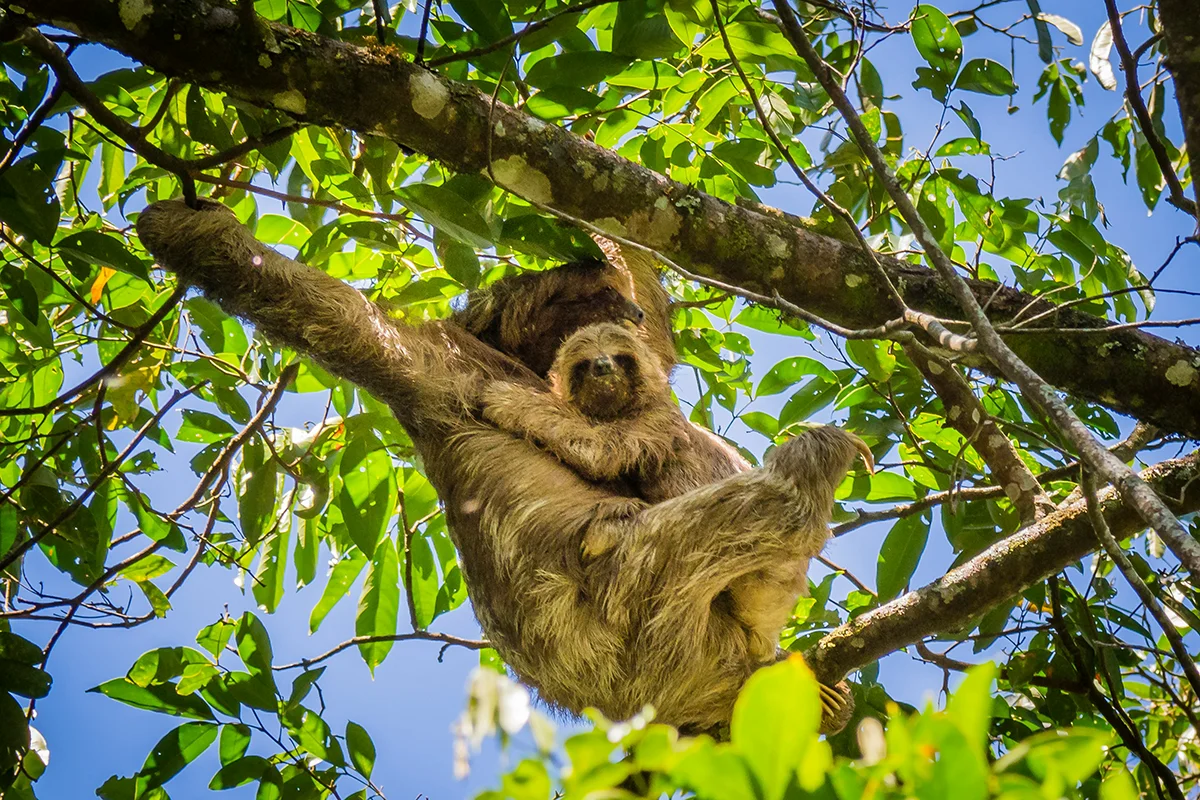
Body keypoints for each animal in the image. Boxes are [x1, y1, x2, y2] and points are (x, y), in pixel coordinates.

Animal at [137, 198, 860, 737]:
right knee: (774, 501)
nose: (622, 316)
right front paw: (190, 228)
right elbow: (336, 317)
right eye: (597, 302)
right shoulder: (450, 356)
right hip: (641, 606)